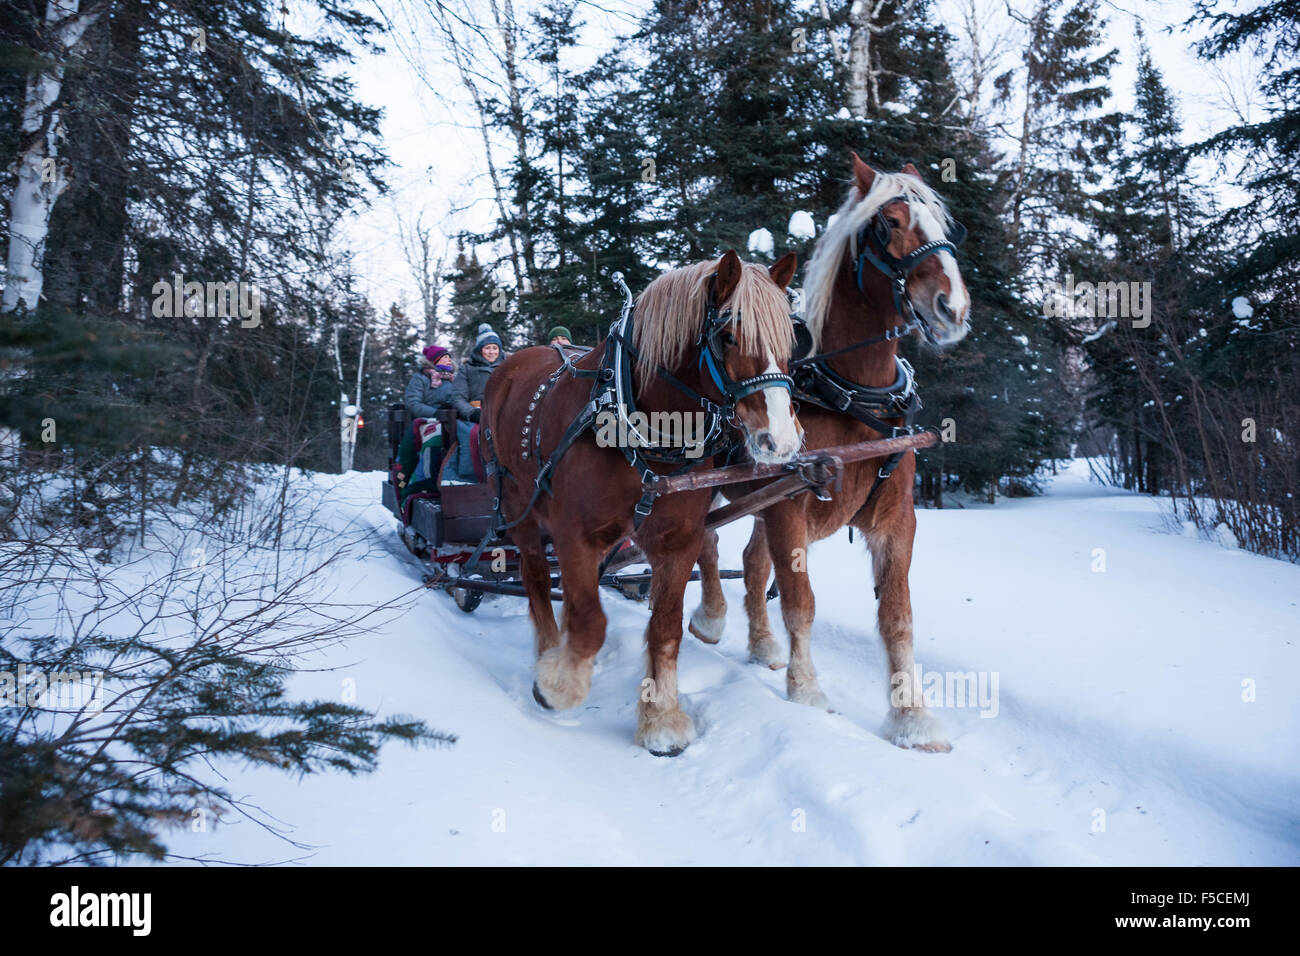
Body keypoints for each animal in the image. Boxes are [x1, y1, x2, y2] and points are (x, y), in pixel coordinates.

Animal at [482, 249, 802, 756]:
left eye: (790, 339)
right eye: (728, 335)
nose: (782, 440)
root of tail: (513, 362)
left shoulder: (678, 539)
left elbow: (665, 627)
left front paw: (661, 718)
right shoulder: (575, 534)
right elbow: (590, 621)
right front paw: (557, 685)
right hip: (518, 508)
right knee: (534, 578)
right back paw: (549, 650)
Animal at [688, 155, 970, 752]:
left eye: (945, 224)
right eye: (890, 223)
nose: (952, 307)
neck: (852, 395)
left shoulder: (895, 520)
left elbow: (897, 615)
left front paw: (912, 718)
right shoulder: (789, 508)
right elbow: (801, 601)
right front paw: (807, 692)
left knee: (750, 563)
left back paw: (762, 645)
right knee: (706, 543)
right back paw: (711, 618)